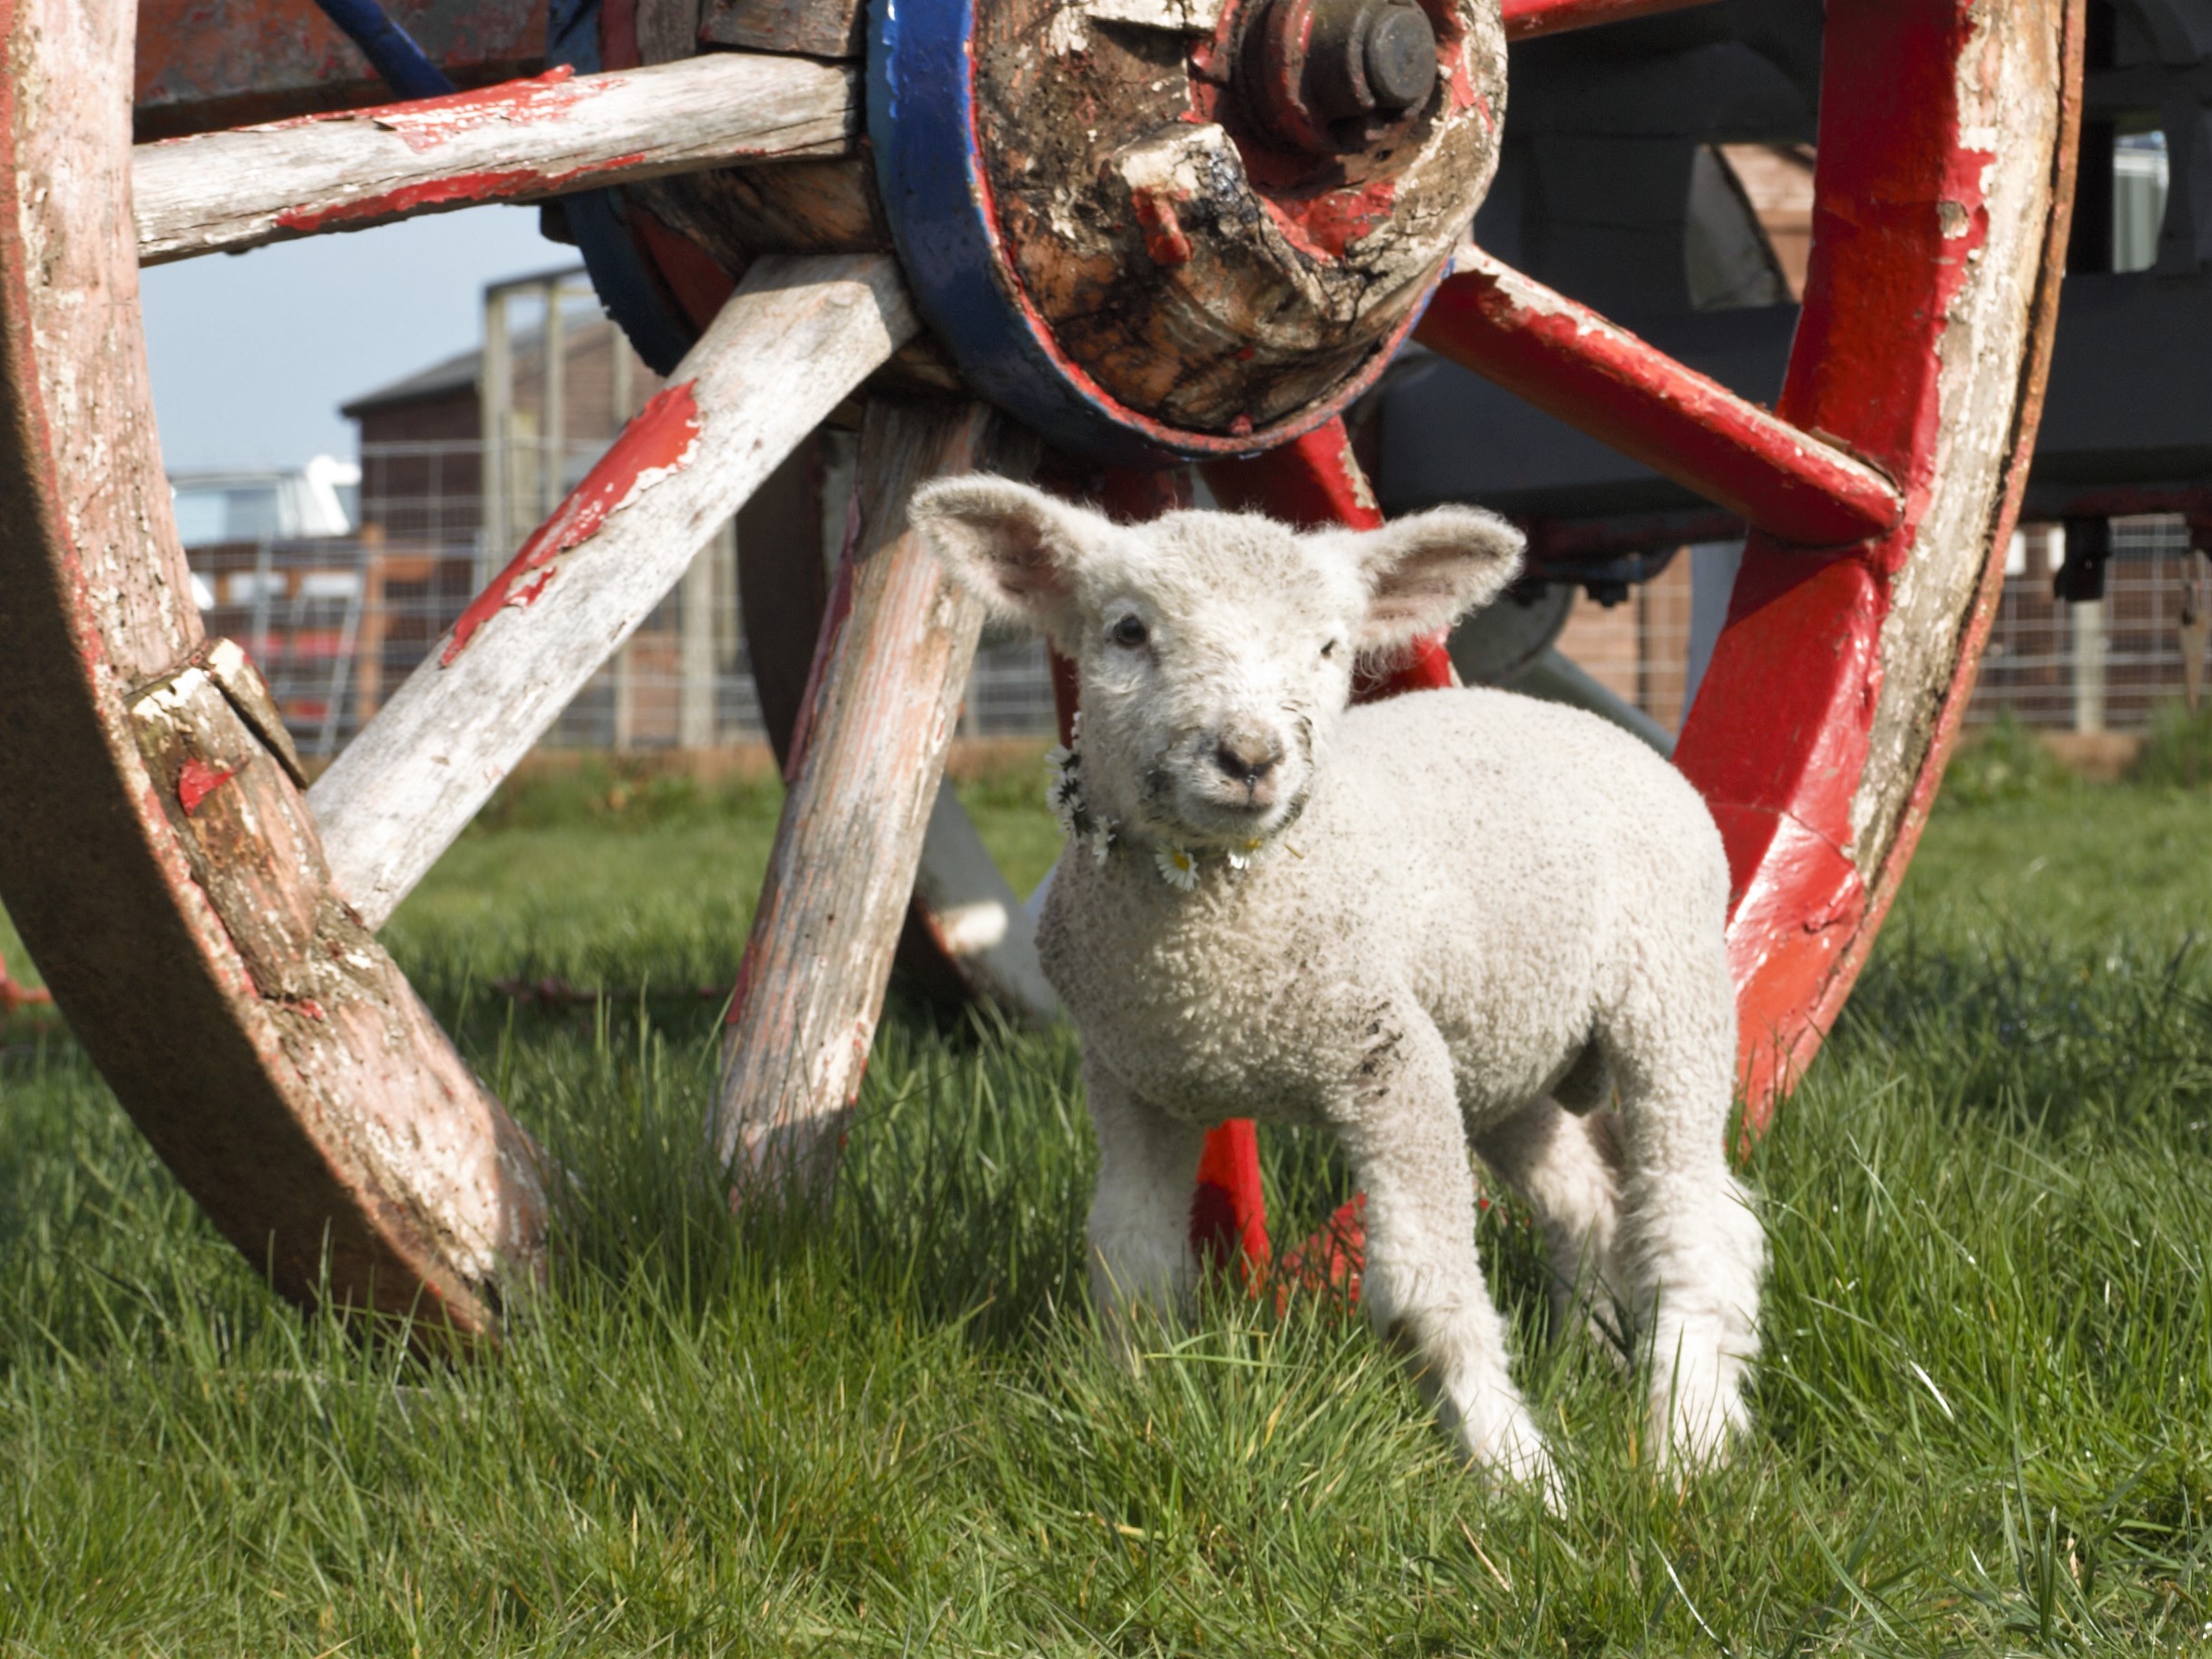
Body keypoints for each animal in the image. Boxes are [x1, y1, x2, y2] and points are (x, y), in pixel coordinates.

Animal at [902, 480, 1760, 1494]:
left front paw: (1514, 1470)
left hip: (1673, 986)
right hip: (1497, 1050)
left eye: (1328, 646)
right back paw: (1589, 1349)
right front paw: (1130, 1408)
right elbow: (1129, 1253)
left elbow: (1424, 1282)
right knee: (1583, 1196)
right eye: (1128, 630)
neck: (1210, 954)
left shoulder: (1385, 1059)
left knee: (1689, 1210)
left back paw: (1685, 1433)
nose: (1249, 757)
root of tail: (1598, 727)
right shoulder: (1133, 1079)